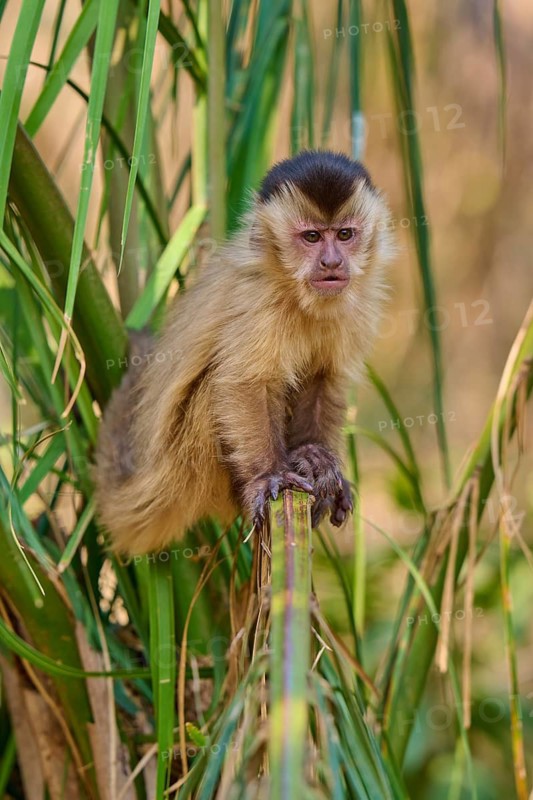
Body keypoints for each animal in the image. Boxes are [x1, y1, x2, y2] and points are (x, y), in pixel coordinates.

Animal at [94, 150, 394, 555]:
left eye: (345, 234)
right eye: (312, 237)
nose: (331, 262)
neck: (293, 290)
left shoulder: (357, 302)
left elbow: (324, 378)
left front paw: (316, 456)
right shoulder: (260, 298)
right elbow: (243, 383)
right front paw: (269, 474)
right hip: (193, 462)